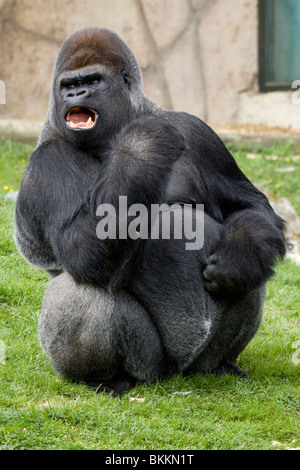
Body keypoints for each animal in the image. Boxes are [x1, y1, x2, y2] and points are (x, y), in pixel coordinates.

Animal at [14, 27, 286, 396]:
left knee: (253, 265)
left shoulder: (196, 131)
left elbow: (248, 206)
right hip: (151, 364)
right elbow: (81, 250)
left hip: (197, 361)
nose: (75, 93)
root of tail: (177, 374)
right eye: (68, 85)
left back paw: (222, 360)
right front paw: (140, 145)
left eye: (92, 80)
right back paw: (108, 378)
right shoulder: (47, 163)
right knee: (74, 292)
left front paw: (239, 257)